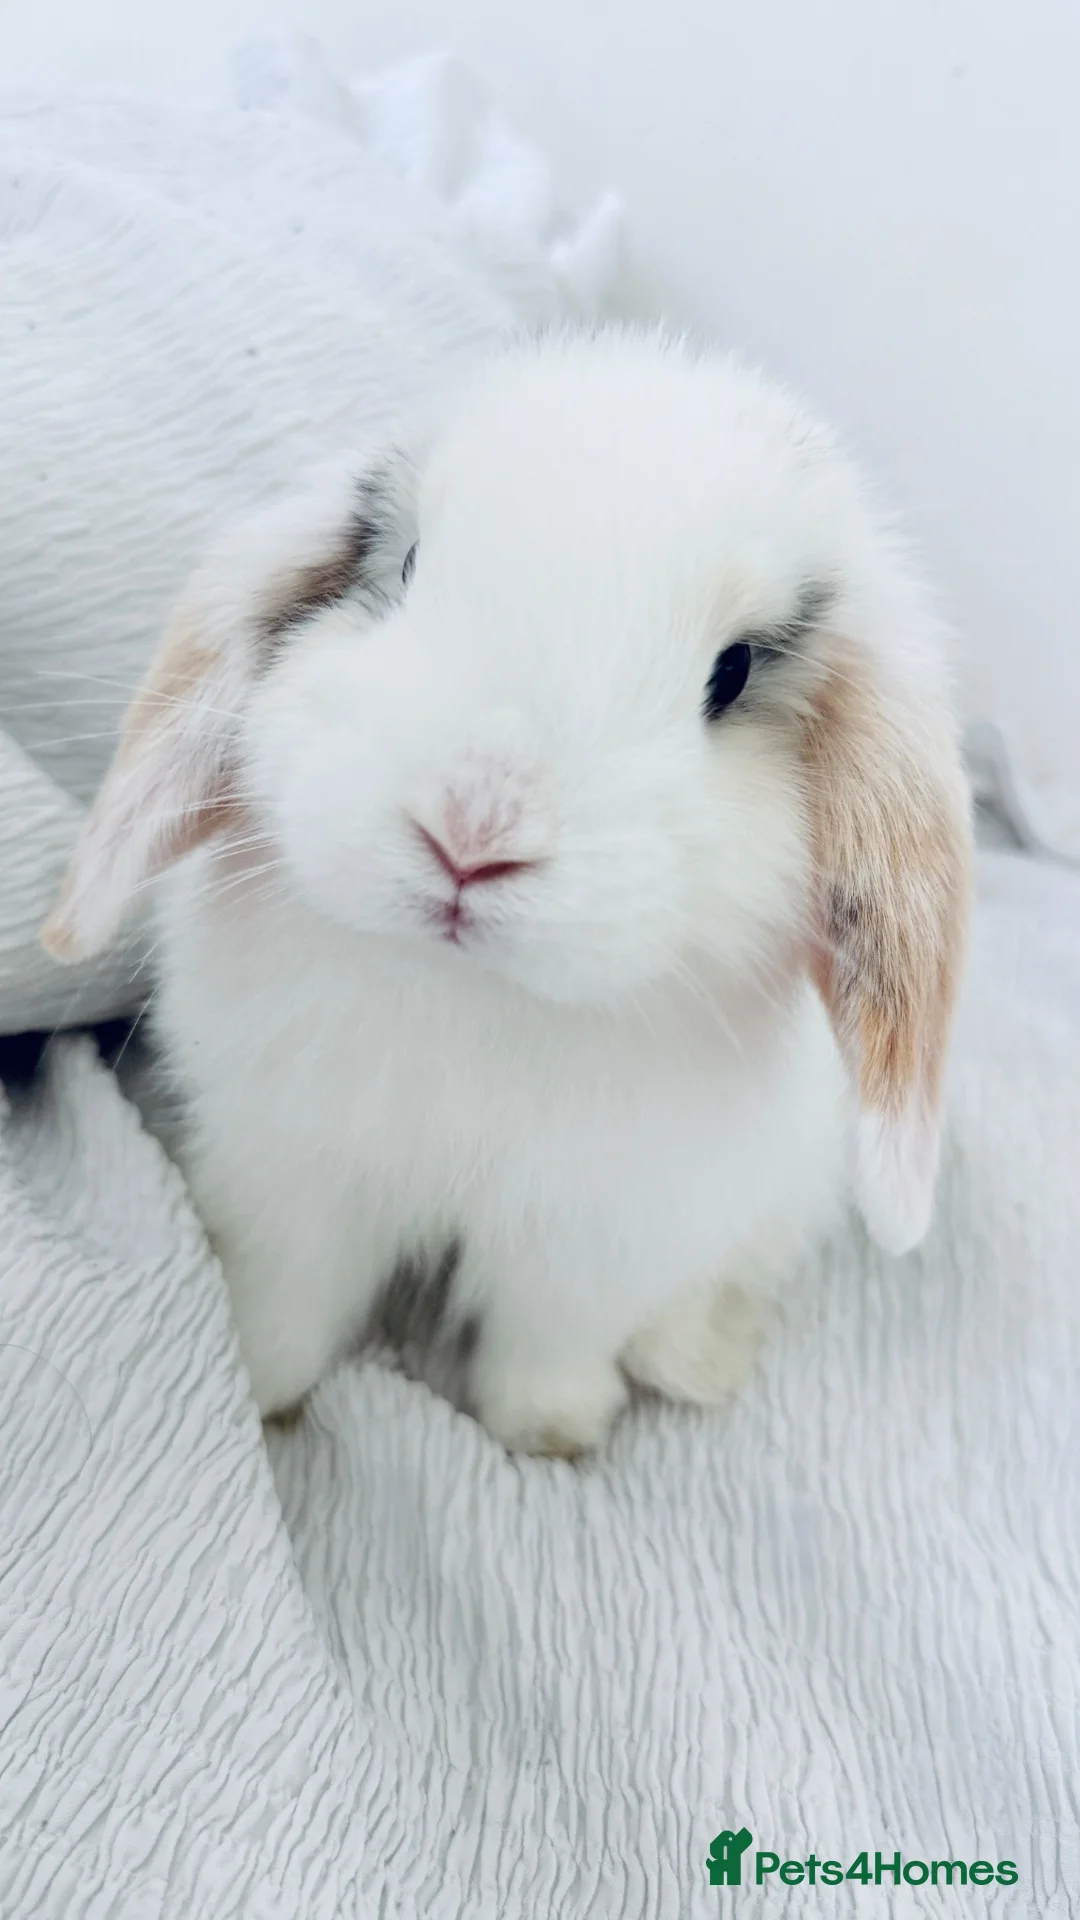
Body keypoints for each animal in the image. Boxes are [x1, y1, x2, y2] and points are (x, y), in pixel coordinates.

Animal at [43, 330, 972, 1456]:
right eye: (406, 570)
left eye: (733, 674)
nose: (469, 836)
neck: (473, 995)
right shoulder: (291, 1181)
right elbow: (286, 1300)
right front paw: (261, 1396)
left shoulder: (593, 1242)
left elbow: (550, 1339)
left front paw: (553, 1433)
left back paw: (694, 1360)